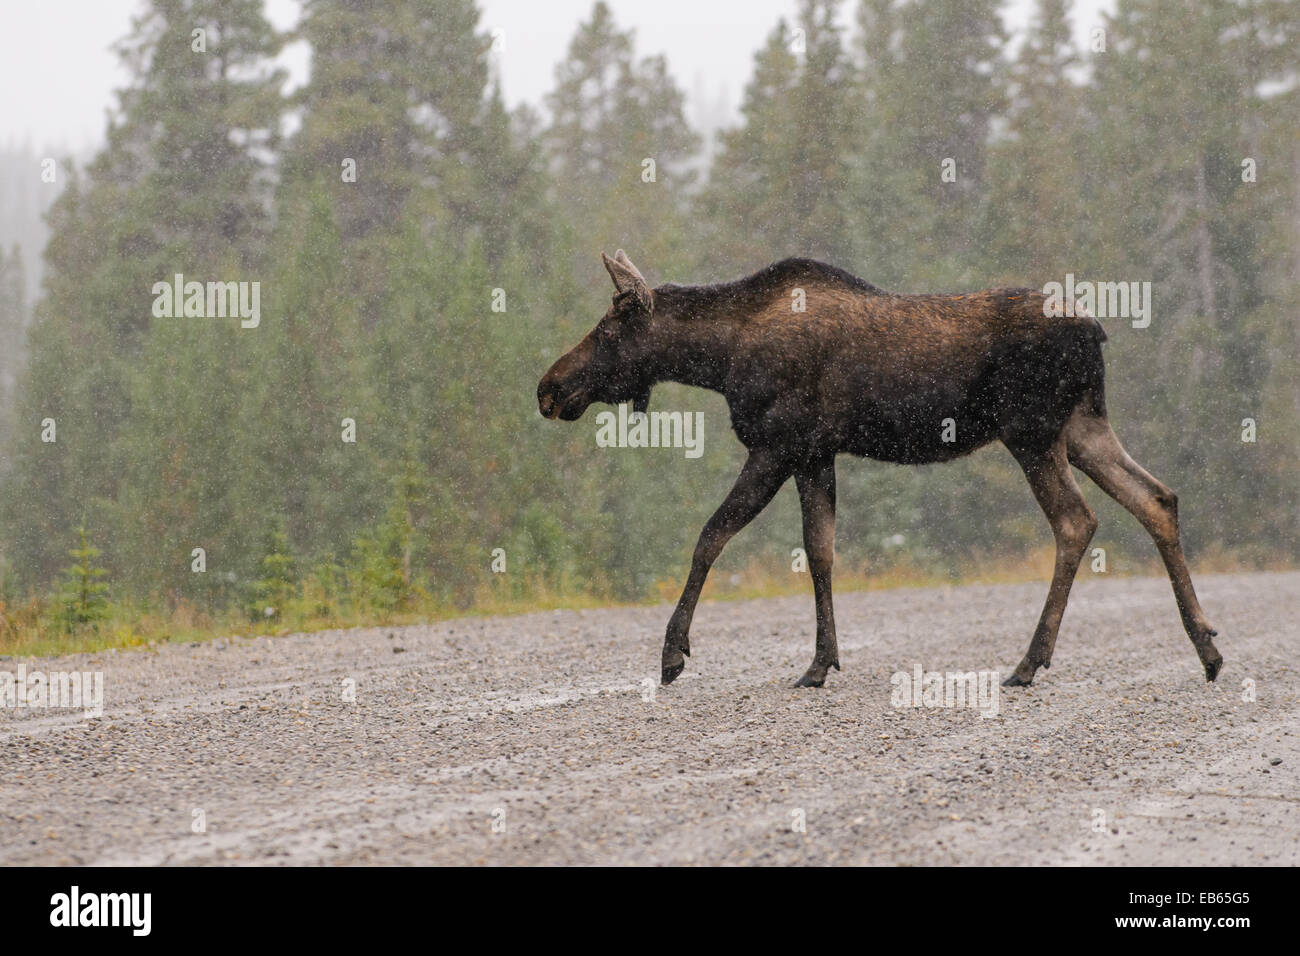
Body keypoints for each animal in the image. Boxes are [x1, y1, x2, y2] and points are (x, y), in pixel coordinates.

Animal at [537, 250, 1224, 690]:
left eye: (606, 330)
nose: (548, 388)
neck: (720, 358)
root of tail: (1097, 330)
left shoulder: (777, 444)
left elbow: (712, 535)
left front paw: (673, 654)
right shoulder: (816, 452)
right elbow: (820, 550)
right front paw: (820, 663)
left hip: (1031, 433)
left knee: (1077, 521)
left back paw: (1031, 662)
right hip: (1081, 426)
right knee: (1158, 498)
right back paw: (1207, 648)